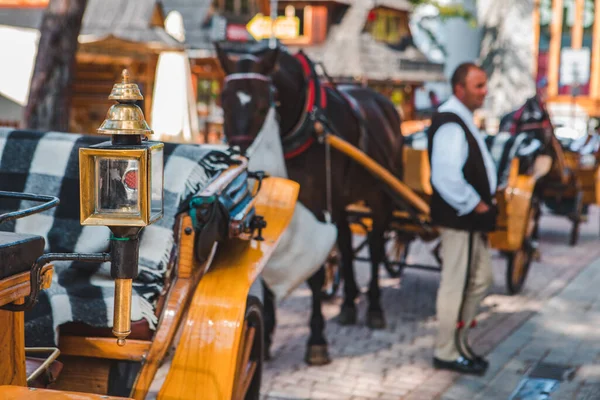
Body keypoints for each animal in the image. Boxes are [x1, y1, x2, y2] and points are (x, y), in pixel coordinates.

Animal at [218, 42, 406, 364]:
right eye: (223, 102)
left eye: (263, 104)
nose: (242, 161)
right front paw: (265, 337)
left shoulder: (318, 205)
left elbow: (317, 275)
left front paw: (317, 339)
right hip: (341, 201)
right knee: (345, 244)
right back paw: (349, 304)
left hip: (380, 194)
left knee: (376, 245)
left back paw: (374, 307)